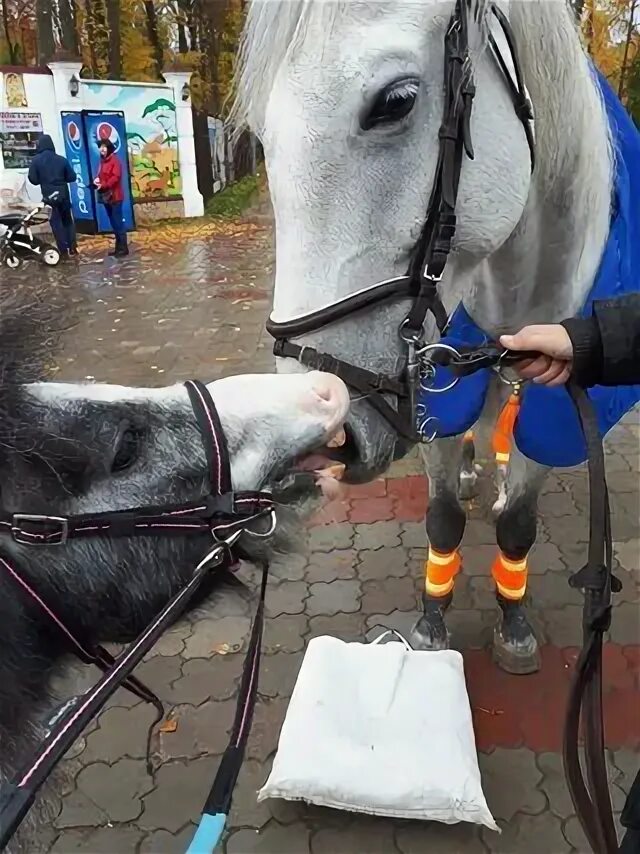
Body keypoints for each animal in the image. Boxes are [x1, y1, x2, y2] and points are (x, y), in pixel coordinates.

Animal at [234, 1, 616, 676]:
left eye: (396, 102)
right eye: (261, 130)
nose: (326, 428)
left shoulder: (558, 402)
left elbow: (519, 520)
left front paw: (514, 623)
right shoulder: (432, 389)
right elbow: (441, 517)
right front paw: (432, 624)